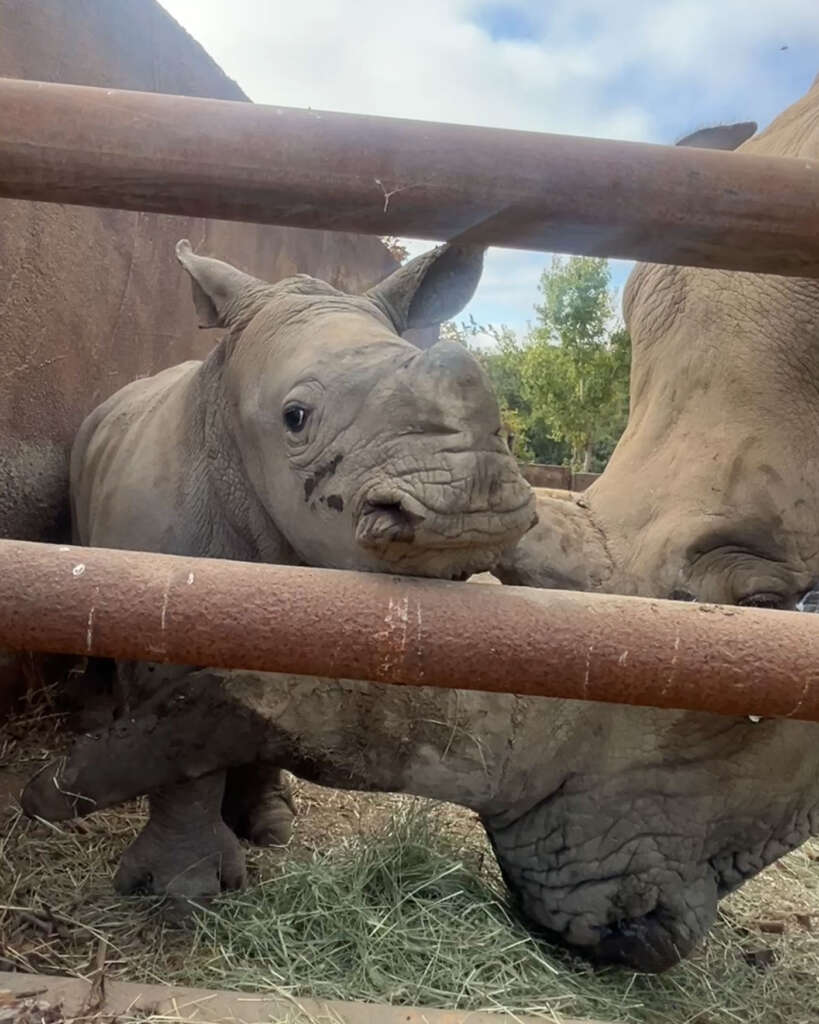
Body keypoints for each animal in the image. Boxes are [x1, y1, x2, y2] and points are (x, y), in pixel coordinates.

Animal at [30, 239, 536, 902]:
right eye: (295, 417)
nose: (473, 504)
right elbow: (180, 746)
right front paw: (182, 892)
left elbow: (269, 711)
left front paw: (269, 825)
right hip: (82, 456)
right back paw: (93, 717)